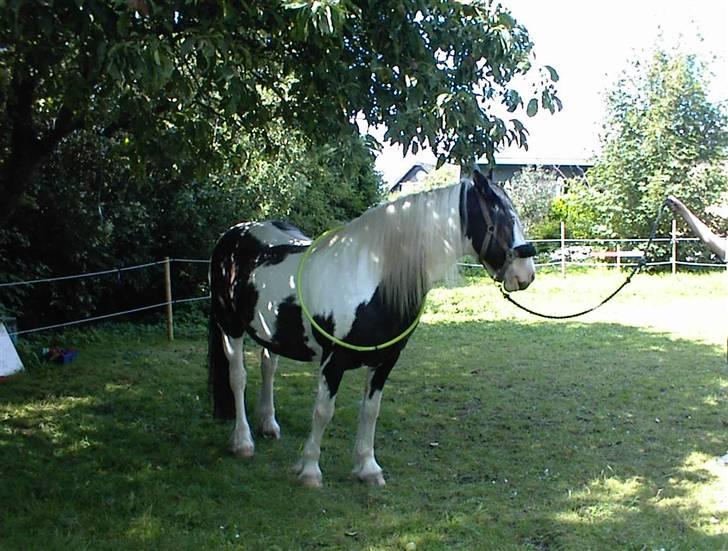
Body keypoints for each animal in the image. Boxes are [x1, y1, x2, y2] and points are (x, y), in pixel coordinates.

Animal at [209, 169, 536, 488]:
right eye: (505, 219)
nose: (526, 274)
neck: (372, 281)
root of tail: (234, 234)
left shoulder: (385, 362)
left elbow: (370, 411)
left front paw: (367, 468)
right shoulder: (333, 361)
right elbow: (323, 411)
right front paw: (310, 471)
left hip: (269, 332)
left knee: (268, 368)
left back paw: (268, 425)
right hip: (231, 327)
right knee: (238, 378)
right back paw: (243, 442)